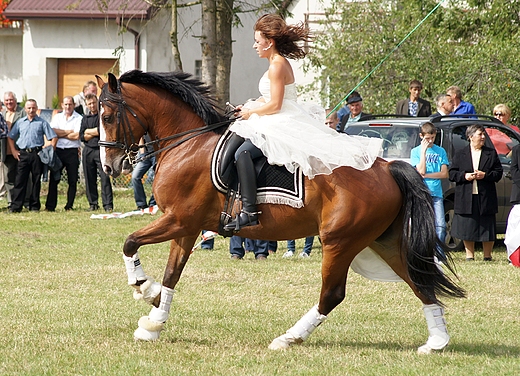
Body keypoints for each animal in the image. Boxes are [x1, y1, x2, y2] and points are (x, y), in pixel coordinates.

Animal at [95, 70, 466, 352]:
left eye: (107, 116)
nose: (110, 166)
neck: (187, 144)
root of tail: (387, 167)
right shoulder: (186, 226)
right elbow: (172, 274)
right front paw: (154, 322)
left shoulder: (177, 219)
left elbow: (129, 242)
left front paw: (143, 286)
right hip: (385, 241)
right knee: (420, 282)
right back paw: (436, 342)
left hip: (339, 241)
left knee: (332, 294)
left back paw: (288, 338)